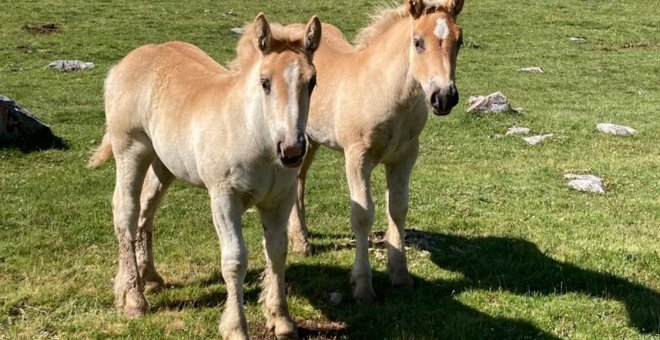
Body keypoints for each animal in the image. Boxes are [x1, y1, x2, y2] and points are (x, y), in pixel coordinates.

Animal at [89, 12, 320, 338]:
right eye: (265, 83)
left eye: (311, 82)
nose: (291, 150)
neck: (253, 135)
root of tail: (123, 65)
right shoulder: (224, 199)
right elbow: (235, 260)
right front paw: (235, 327)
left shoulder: (279, 200)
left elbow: (277, 252)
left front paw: (282, 320)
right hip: (131, 151)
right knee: (126, 212)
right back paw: (134, 299)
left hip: (164, 164)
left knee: (146, 209)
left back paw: (149, 279)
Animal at [288, 0, 464, 300]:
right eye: (418, 42)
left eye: (459, 41)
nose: (443, 97)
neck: (385, 91)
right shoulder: (357, 158)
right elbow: (362, 215)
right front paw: (362, 285)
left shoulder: (405, 156)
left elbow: (398, 208)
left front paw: (401, 275)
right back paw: (301, 243)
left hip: (311, 139)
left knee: (299, 179)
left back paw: (303, 235)